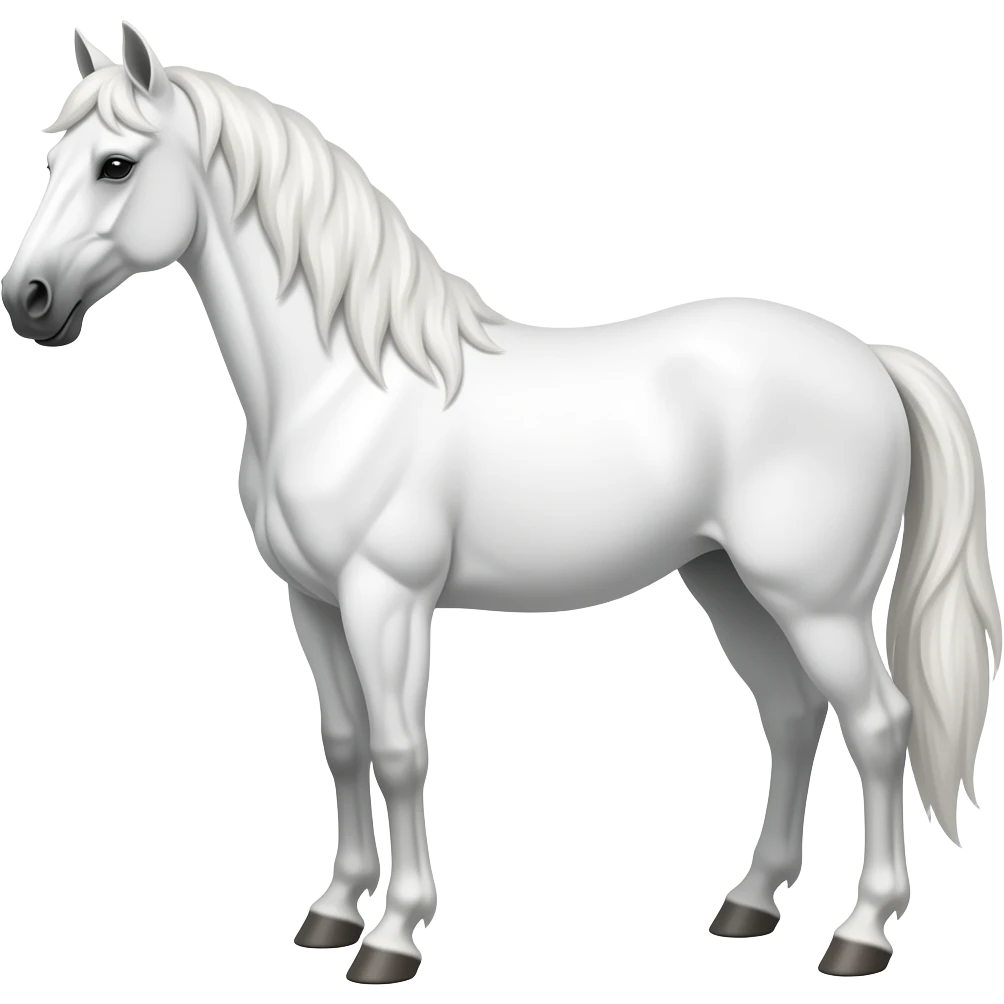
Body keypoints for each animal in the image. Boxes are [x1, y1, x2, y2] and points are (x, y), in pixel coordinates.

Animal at [2, 20, 998, 983]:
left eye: (117, 164)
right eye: (52, 160)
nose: (29, 300)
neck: (344, 385)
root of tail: (870, 358)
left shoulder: (386, 599)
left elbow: (401, 753)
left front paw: (393, 938)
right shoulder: (313, 601)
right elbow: (346, 743)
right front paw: (332, 913)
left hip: (816, 602)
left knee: (880, 727)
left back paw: (861, 934)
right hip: (731, 584)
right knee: (793, 718)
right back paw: (750, 906)